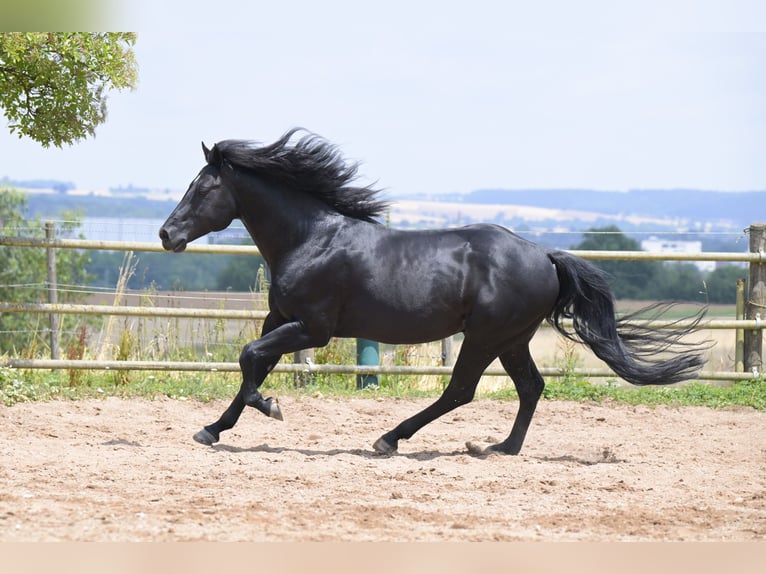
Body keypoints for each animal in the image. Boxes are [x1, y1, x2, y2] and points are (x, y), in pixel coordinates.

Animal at [159, 128, 706, 456]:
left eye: (203, 188)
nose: (167, 235)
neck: (311, 239)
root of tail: (545, 256)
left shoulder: (312, 330)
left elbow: (250, 359)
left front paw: (270, 407)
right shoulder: (281, 321)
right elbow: (252, 362)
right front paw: (212, 429)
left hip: (486, 337)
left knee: (461, 389)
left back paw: (390, 439)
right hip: (512, 340)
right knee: (530, 387)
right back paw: (500, 448)